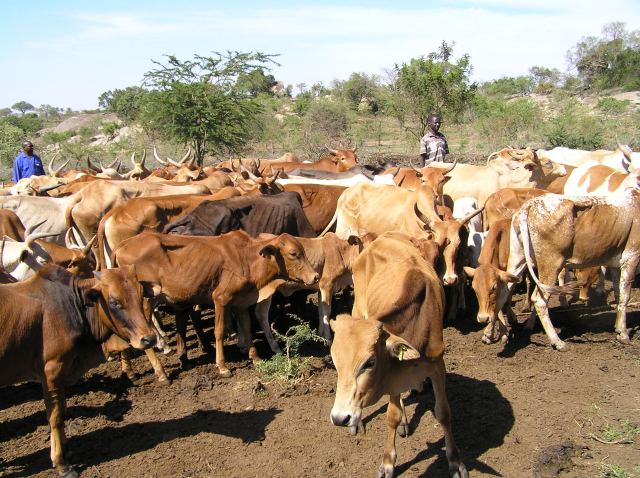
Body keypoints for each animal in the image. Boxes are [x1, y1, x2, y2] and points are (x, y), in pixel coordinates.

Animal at [0, 264, 155, 476]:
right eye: (113, 302)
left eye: (141, 295)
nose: (149, 339)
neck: (71, 303)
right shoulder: (51, 370)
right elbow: (55, 417)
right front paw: (61, 464)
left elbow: (63, 411)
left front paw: (68, 453)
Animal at [114, 230, 318, 376]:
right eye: (293, 253)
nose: (315, 276)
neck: (247, 259)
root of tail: (122, 245)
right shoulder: (221, 299)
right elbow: (218, 332)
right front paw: (222, 366)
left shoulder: (242, 302)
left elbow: (247, 328)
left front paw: (256, 358)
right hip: (145, 303)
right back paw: (160, 371)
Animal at [330, 234, 464, 478]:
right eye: (335, 363)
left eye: (369, 362)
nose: (339, 418)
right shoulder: (392, 375)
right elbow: (391, 415)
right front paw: (388, 463)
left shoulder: (437, 365)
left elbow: (443, 413)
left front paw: (455, 462)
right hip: (358, 307)